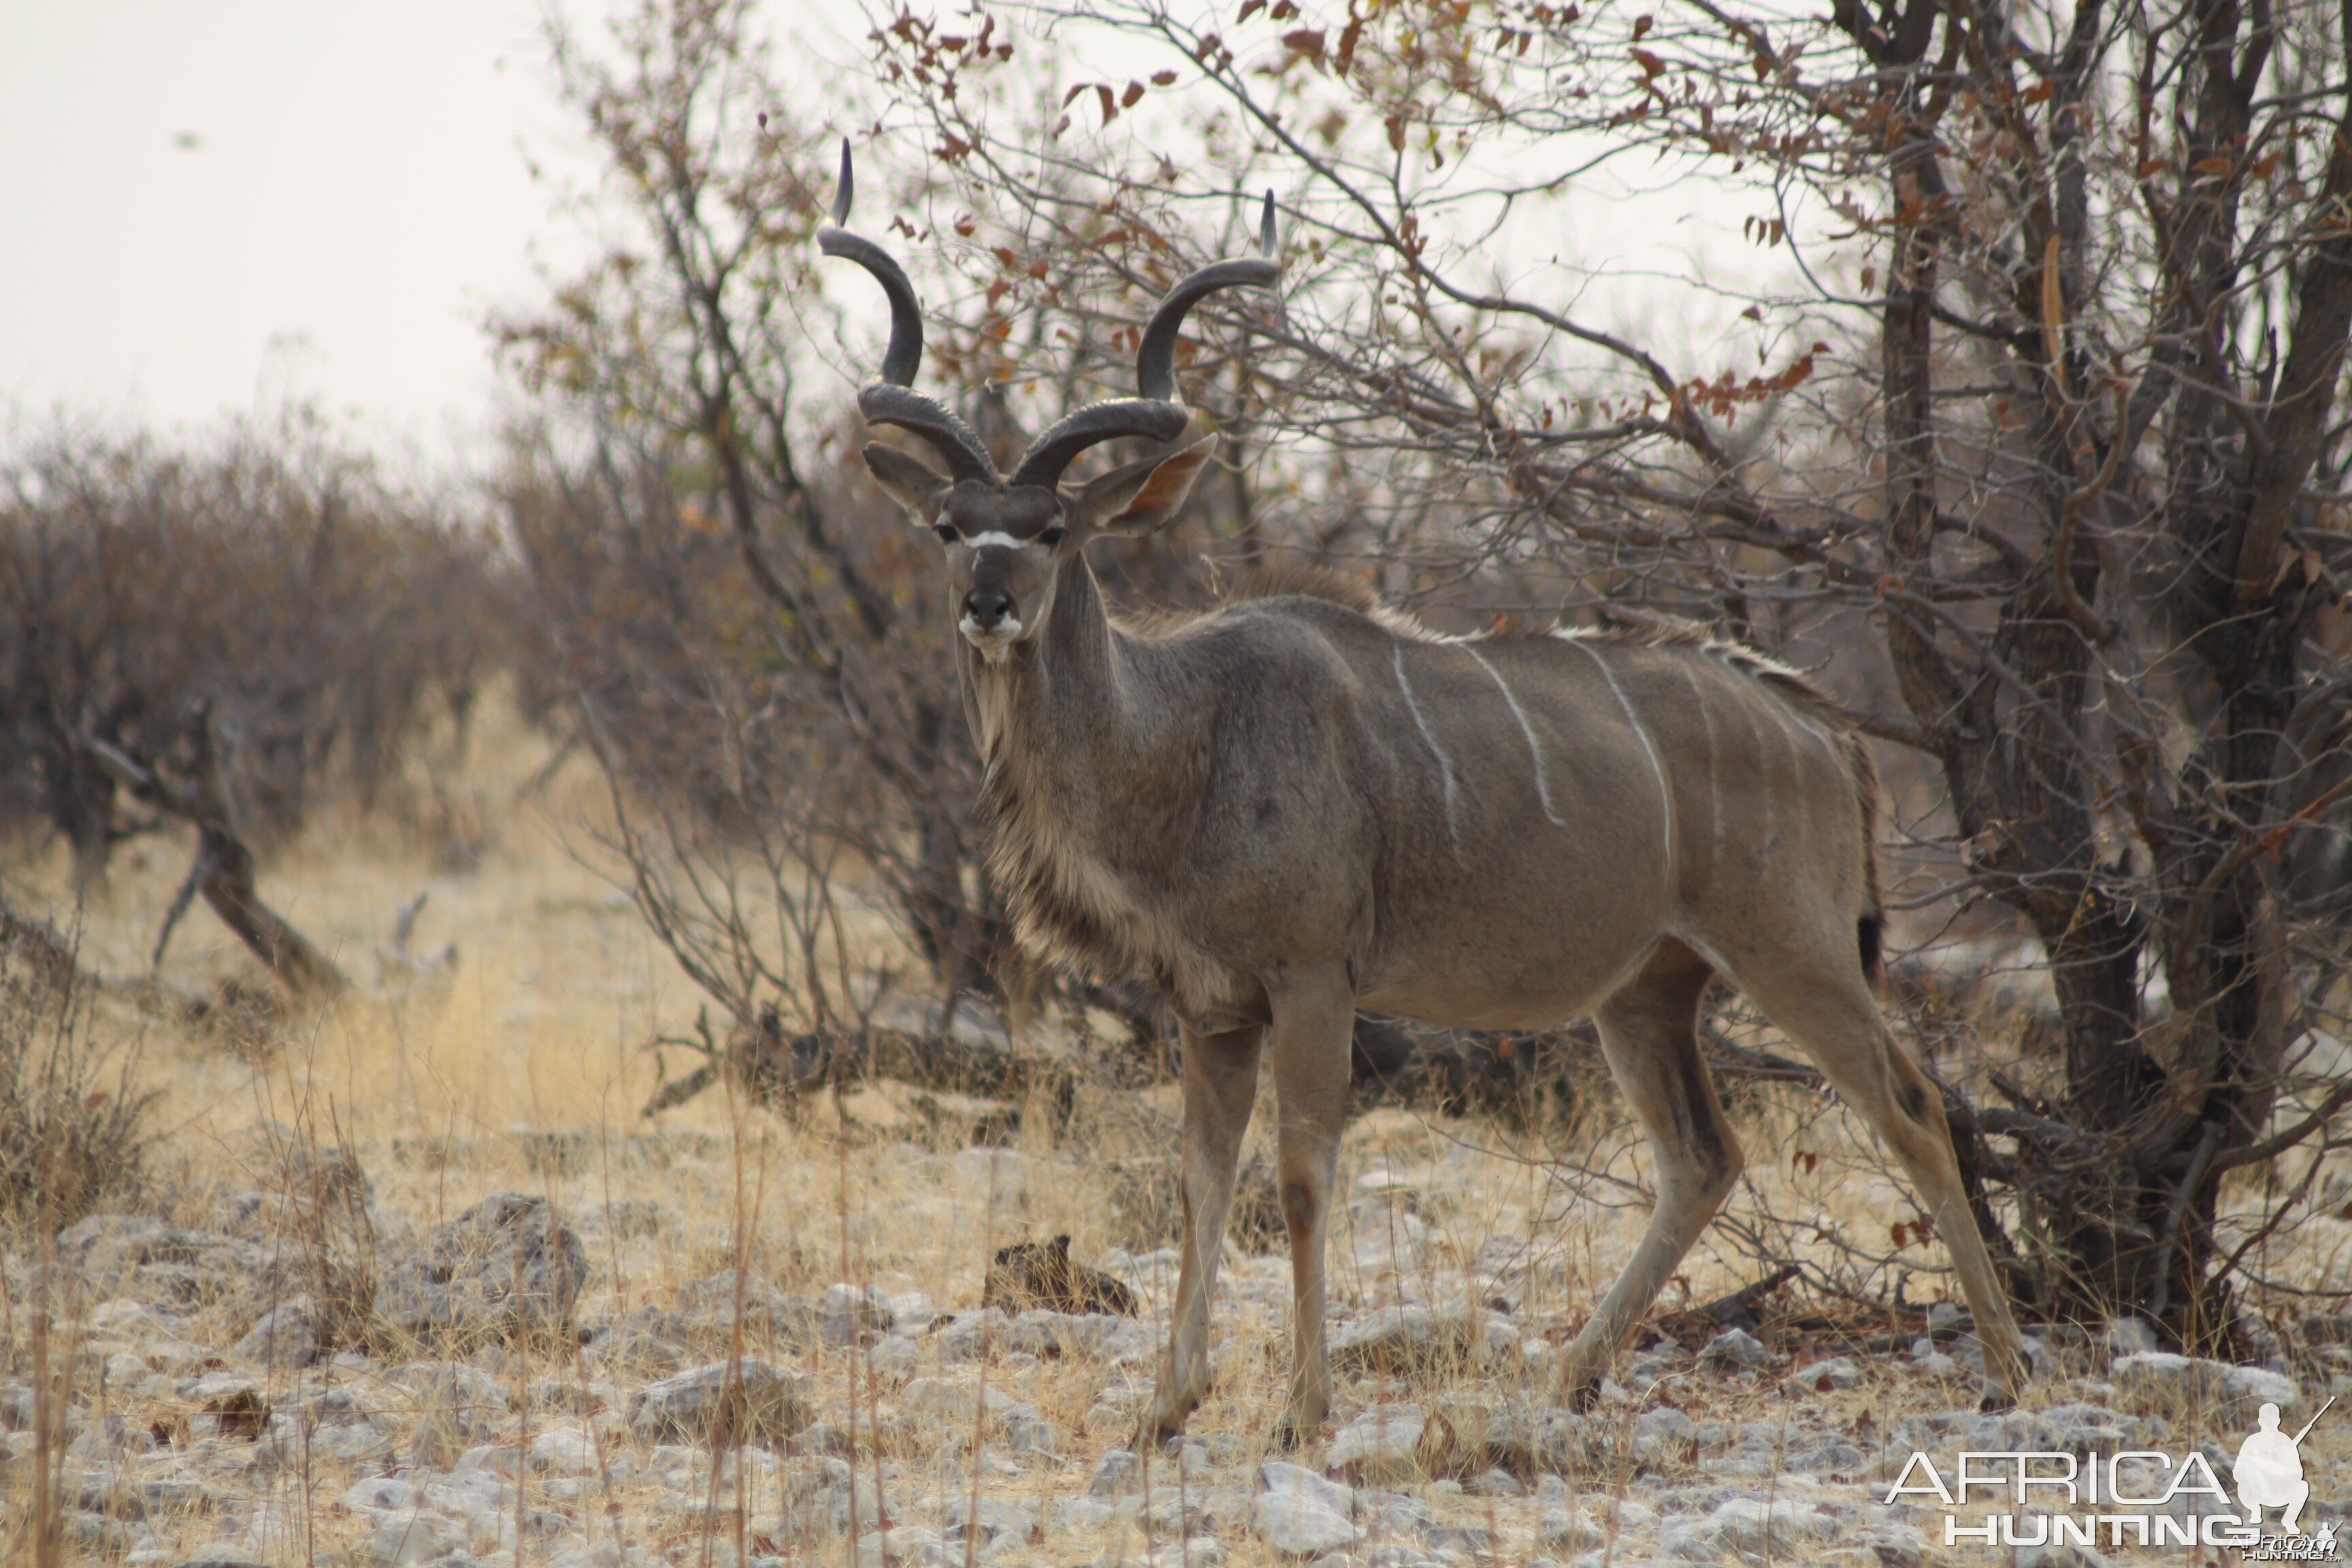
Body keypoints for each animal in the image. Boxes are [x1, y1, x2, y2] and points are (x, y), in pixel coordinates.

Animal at [813, 150, 2023, 1448]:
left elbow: (1298, 1179)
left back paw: (2006, 1371)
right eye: (950, 525)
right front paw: (1165, 1408)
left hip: (1793, 949)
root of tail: (1821, 728)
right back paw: (1565, 1375)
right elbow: (1199, 1183)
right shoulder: (1210, 1008)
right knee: (1705, 1156)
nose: (985, 603)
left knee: (1912, 1107)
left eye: (1048, 530)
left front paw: (1301, 1412)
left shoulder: (1313, 982)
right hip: (1647, 986)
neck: (1183, 729)